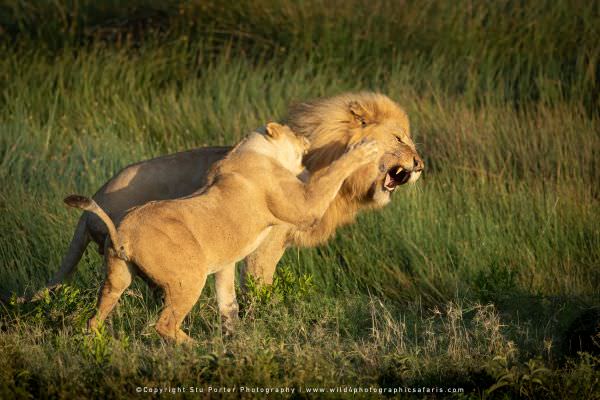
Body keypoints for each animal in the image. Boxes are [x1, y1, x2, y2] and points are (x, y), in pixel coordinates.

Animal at [63, 123, 378, 342]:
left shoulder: (225, 262)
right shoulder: (303, 204)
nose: (306, 138)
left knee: (96, 317)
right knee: (164, 324)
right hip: (188, 277)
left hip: (117, 278)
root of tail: (122, 234)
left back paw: (97, 341)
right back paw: (196, 348)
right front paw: (364, 148)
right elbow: (332, 174)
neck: (248, 149)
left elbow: (228, 302)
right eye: (293, 131)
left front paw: (235, 336)